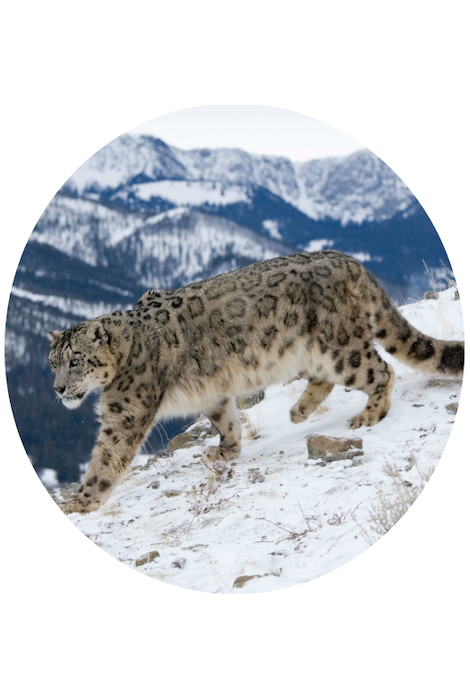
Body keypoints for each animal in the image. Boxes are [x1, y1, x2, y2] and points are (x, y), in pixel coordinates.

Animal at [48, 250, 464, 514]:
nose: (57, 389)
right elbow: (225, 418)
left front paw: (79, 501)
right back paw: (299, 411)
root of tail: (352, 262)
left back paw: (369, 413)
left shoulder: (126, 411)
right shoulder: (212, 393)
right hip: (313, 353)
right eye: (52, 363)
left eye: (75, 361)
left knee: (380, 370)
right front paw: (224, 451)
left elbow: (106, 457)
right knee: (327, 379)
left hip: (339, 348)